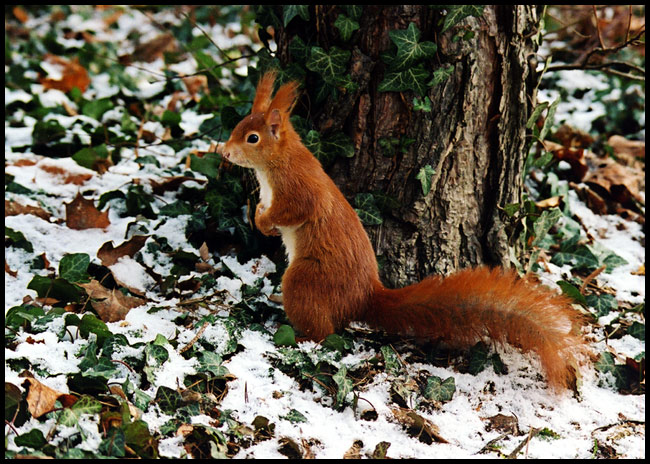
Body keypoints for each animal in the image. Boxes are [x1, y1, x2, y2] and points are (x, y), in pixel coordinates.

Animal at [216, 71, 584, 388]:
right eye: (238, 127)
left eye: (252, 138)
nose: (226, 151)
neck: (276, 164)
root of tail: (365, 297)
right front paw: (259, 217)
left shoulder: (299, 189)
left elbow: (295, 210)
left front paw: (265, 221)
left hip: (308, 280)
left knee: (324, 331)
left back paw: (296, 337)